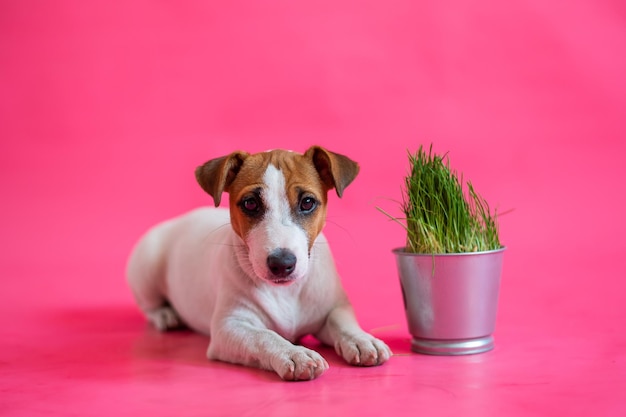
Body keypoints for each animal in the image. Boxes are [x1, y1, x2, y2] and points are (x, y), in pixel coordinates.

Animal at [125, 146, 390, 380]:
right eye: (250, 203)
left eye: (307, 202)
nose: (282, 263)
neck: (286, 292)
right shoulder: (229, 327)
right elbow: (265, 336)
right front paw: (294, 354)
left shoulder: (333, 307)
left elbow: (342, 321)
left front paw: (362, 339)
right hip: (146, 267)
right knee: (149, 305)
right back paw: (165, 315)